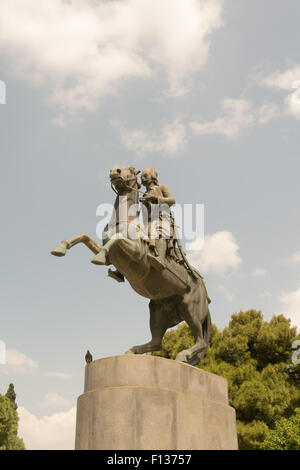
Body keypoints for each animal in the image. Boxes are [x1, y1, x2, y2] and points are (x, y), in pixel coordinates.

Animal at [51, 165, 211, 368]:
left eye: (132, 169)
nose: (115, 171)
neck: (125, 222)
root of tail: (205, 292)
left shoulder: (136, 253)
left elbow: (117, 240)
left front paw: (97, 257)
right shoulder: (112, 257)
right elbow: (83, 236)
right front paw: (60, 248)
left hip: (190, 308)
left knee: (200, 340)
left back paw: (183, 355)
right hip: (158, 310)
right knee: (157, 342)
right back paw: (132, 351)